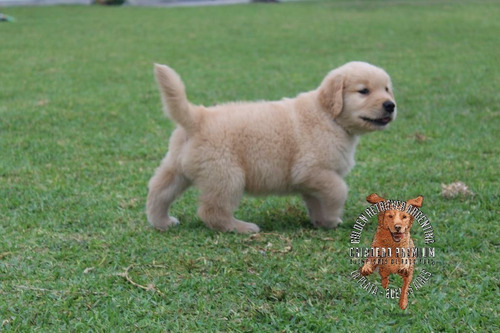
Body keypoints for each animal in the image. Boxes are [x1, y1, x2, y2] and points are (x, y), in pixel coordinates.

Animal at [146, 63, 396, 233]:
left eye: (386, 89)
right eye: (364, 91)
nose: (390, 105)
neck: (329, 116)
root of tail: (198, 116)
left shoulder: (312, 180)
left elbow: (316, 201)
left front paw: (322, 221)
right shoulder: (312, 170)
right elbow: (339, 190)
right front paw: (334, 217)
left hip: (177, 169)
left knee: (159, 191)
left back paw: (161, 222)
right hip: (227, 176)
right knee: (212, 211)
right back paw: (242, 227)